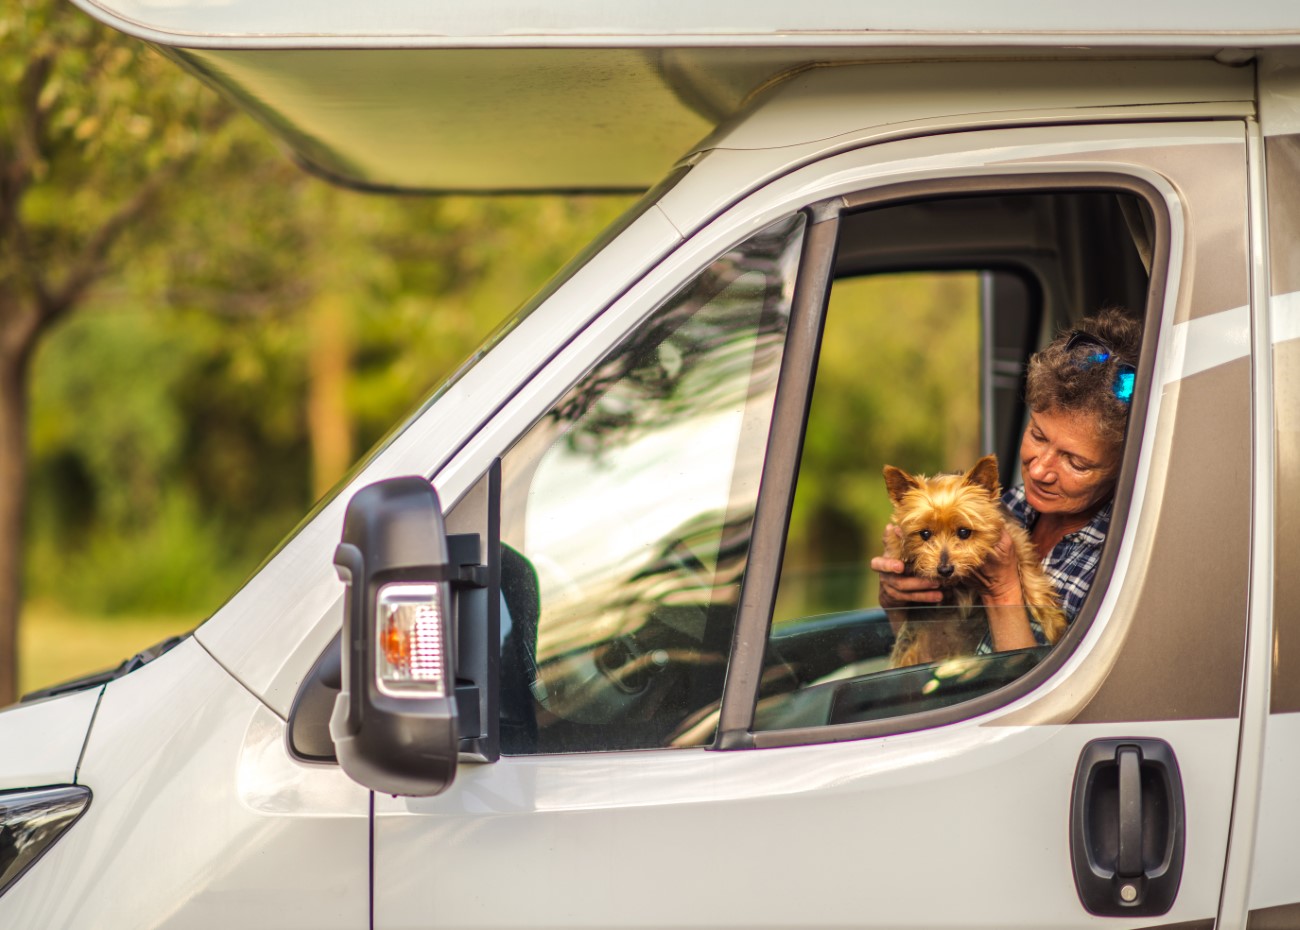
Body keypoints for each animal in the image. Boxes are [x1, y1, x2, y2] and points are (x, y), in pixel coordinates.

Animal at [883, 452, 1066, 665]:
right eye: (924, 534)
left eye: (964, 532)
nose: (944, 570)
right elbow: (897, 542)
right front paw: (903, 552)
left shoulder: (1016, 540)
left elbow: (1032, 580)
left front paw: (1057, 627)